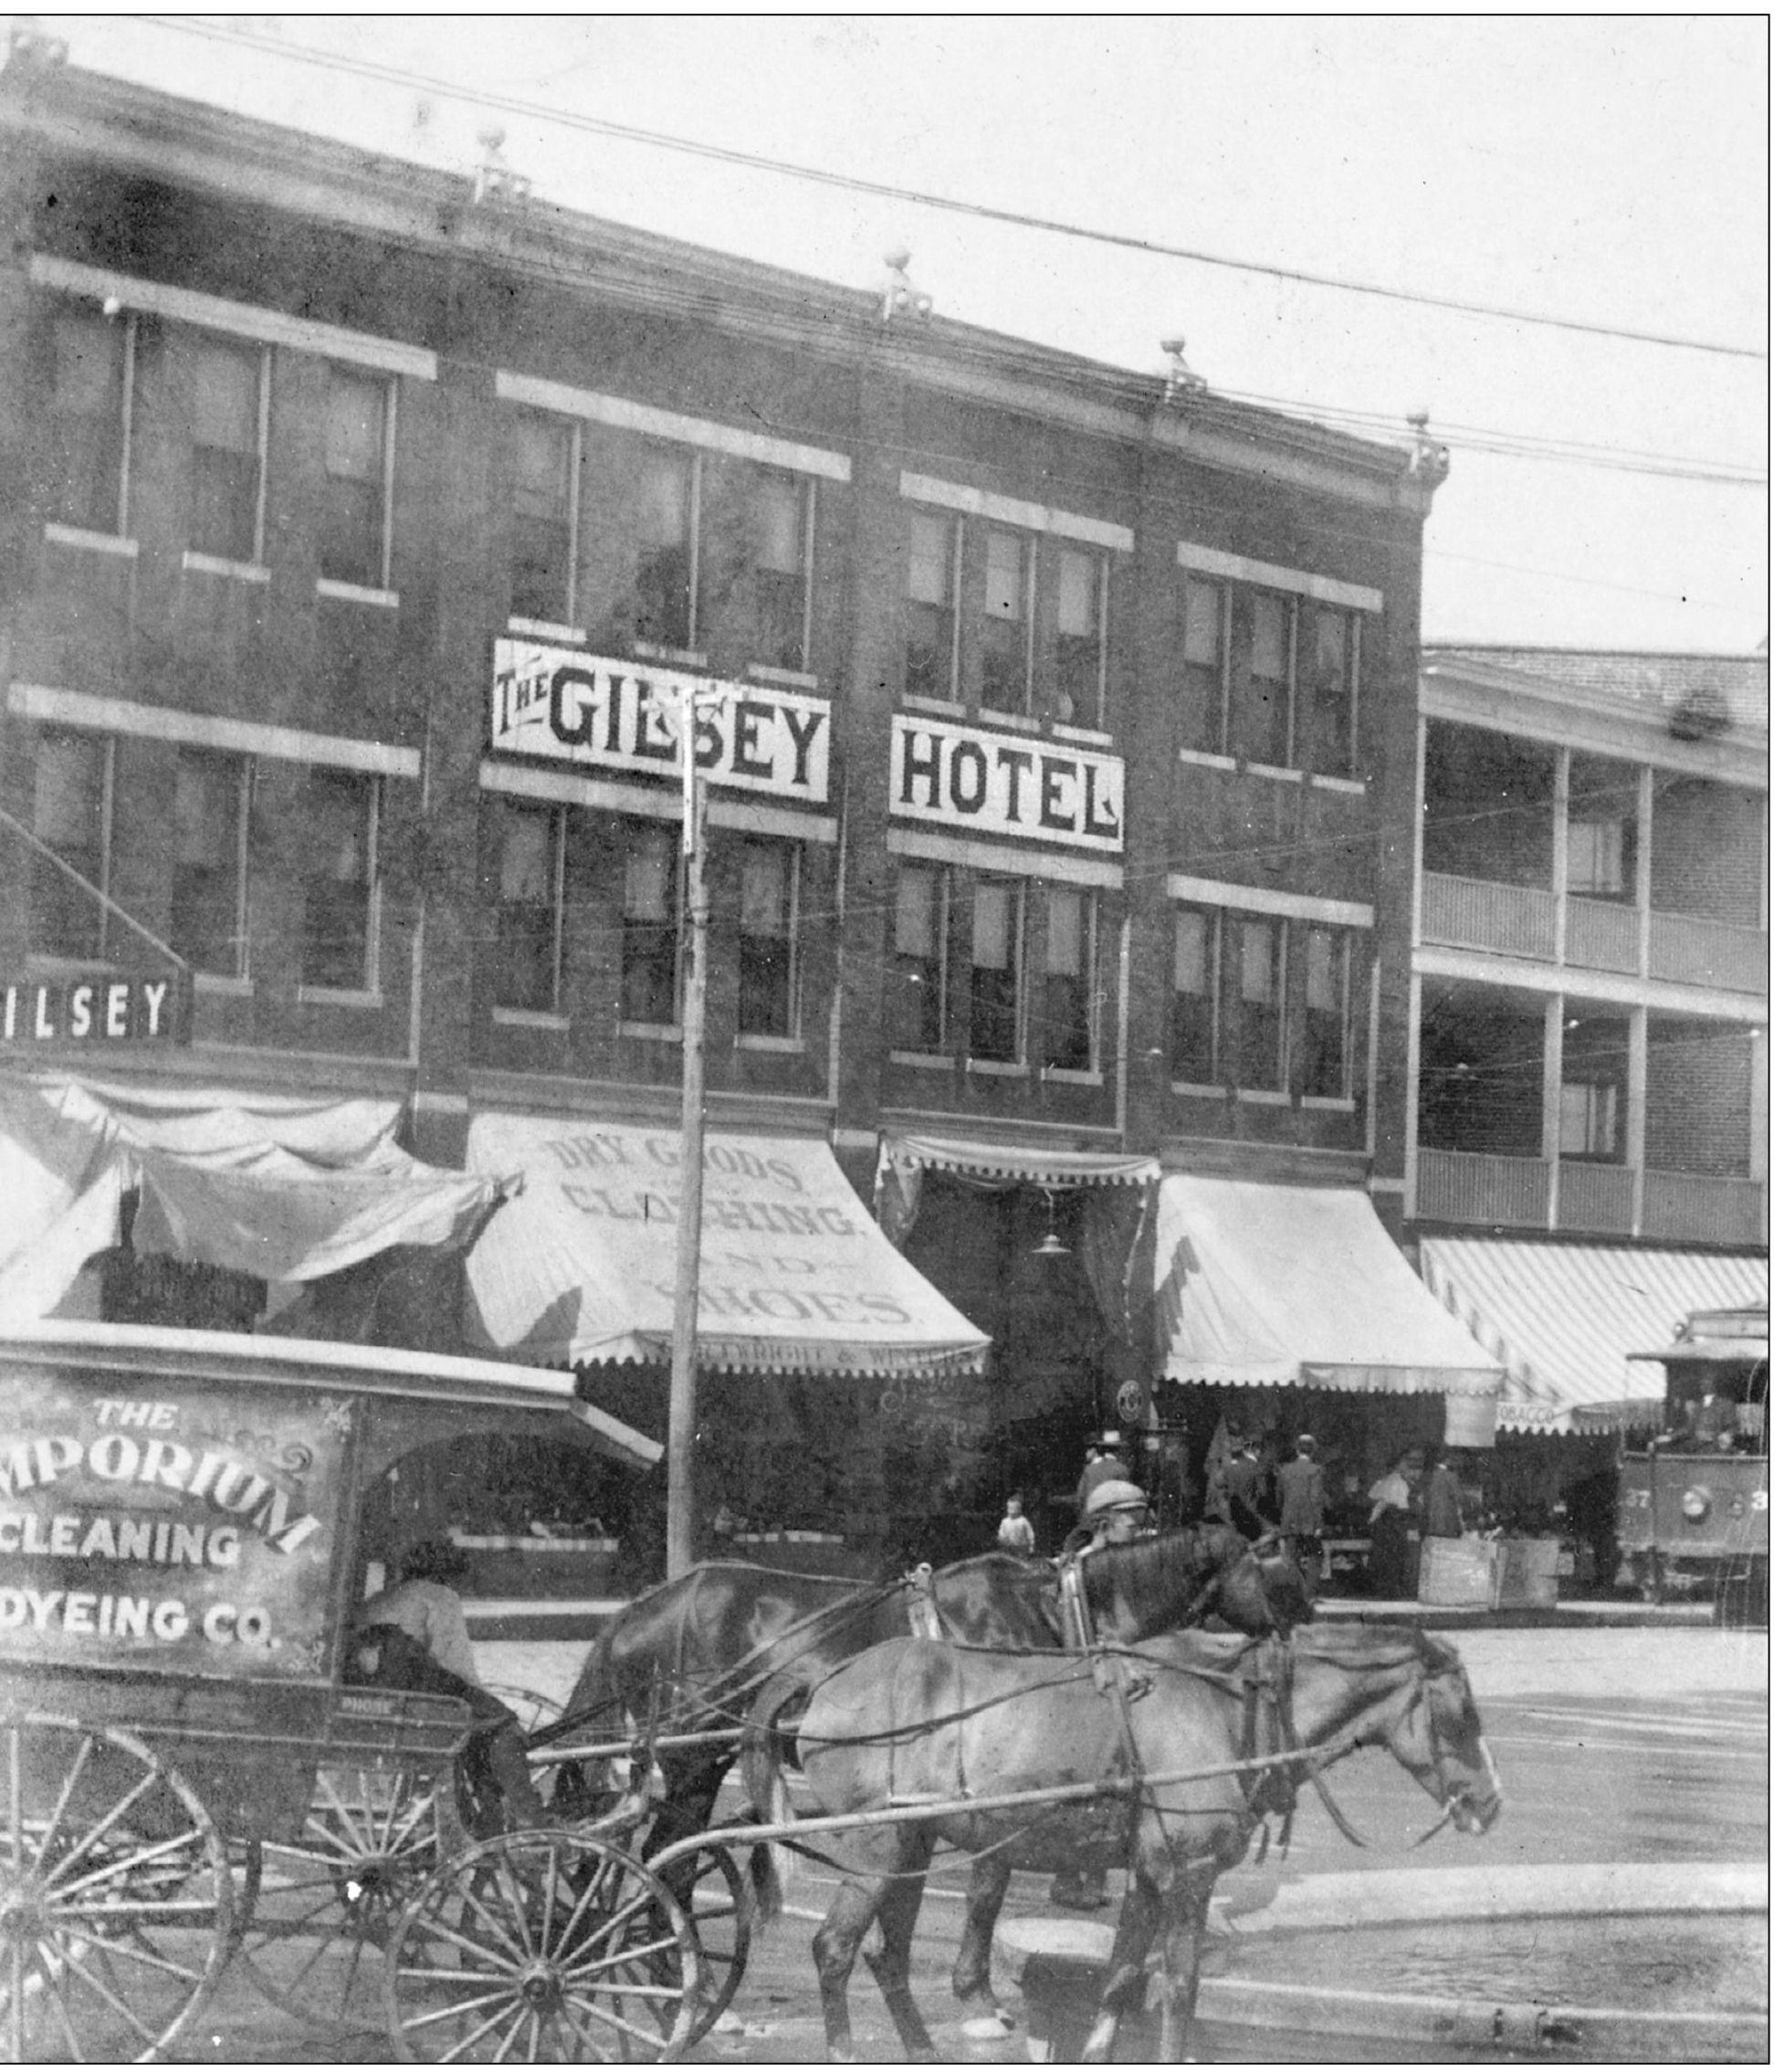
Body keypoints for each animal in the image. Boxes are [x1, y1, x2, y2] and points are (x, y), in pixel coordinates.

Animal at [746, 1624, 1500, 2063]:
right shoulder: (1190, 1875)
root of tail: (825, 1677)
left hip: (912, 1844)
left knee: (887, 1954)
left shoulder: (1147, 1874)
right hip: (876, 1845)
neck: (1234, 1707)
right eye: (1461, 1711)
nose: (1490, 1802)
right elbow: (1181, 1988)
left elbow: (1120, 1981)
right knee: (835, 1948)